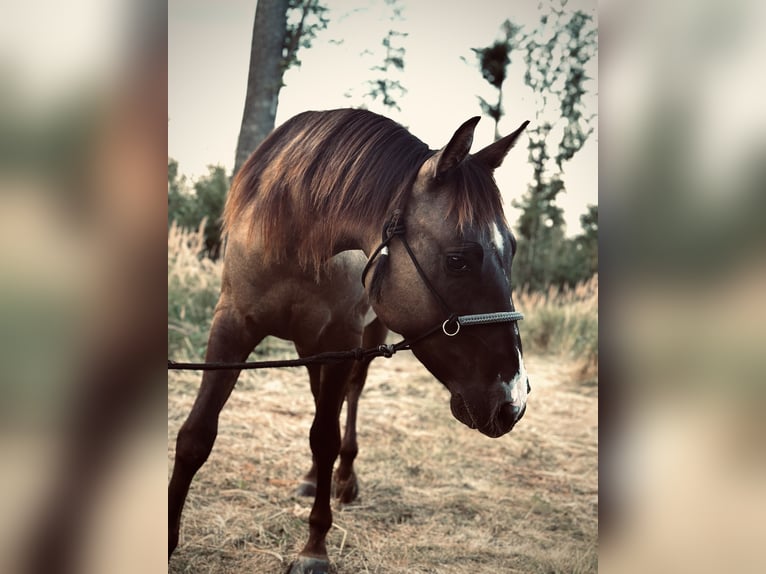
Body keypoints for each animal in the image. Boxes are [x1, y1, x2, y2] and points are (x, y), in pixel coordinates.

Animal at [168, 108, 530, 574]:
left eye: (513, 250)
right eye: (458, 261)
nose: (513, 402)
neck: (295, 236)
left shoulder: (343, 339)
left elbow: (326, 437)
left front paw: (314, 547)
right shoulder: (231, 327)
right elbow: (196, 435)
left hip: (362, 340)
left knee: (349, 400)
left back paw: (344, 480)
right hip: (311, 346)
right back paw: (311, 479)